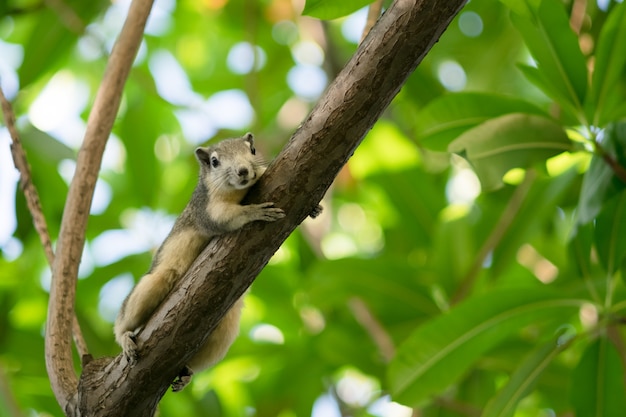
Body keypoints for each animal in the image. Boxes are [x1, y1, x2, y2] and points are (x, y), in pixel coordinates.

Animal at [113, 132, 322, 390]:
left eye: (252, 150)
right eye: (214, 162)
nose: (243, 170)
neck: (238, 192)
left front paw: (315, 208)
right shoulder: (208, 209)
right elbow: (226, 217)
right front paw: (255, 211)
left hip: (224, 332)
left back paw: (186, 373)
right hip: (153, 284)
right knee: (124, 320)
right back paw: (125, 338)